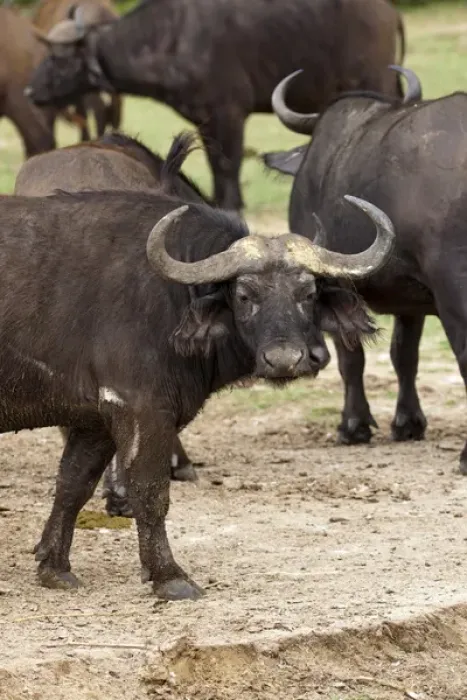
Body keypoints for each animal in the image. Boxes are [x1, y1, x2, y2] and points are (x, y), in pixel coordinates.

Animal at [0, 180, 394, 598]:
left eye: (308, 293)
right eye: (243, 295)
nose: (285, 360)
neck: (171, 299)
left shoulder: (94, 421)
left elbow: (73, 485)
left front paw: (55, 567)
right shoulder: (139, 408)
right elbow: (150, 491)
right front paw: (169, 576)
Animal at [26, 0, 405, 210]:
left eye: (59, 58)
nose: (30, 91)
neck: (171, 39)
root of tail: (387, 12)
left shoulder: (228, 113)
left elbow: (226, 165)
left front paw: (232, 205)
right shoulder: (205, 120)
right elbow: (213, 164)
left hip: (375, 81)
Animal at [268, 65, 467, 474]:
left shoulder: (332, 286)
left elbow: (351, 358)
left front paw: (353, 425)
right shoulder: (411, 299)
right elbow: (404, 355)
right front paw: (408, 423)